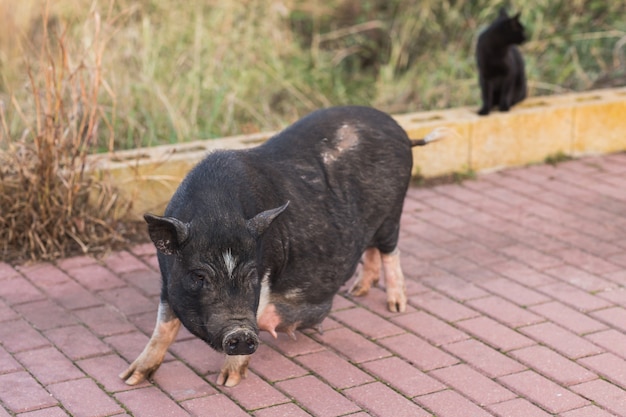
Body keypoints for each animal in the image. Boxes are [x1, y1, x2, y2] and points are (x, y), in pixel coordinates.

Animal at [119, 105, 444, 386]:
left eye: (251, 274)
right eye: (199, 276)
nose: (240, 333)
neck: (218, 214)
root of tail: (400, 131)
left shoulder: (268, 270)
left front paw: (227, 382)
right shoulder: (167, 281)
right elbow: (163, 328)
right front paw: (130, 379)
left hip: (393, 213)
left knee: (391, 251)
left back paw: (396, 306)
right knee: (372, 249)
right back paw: (358, 291)